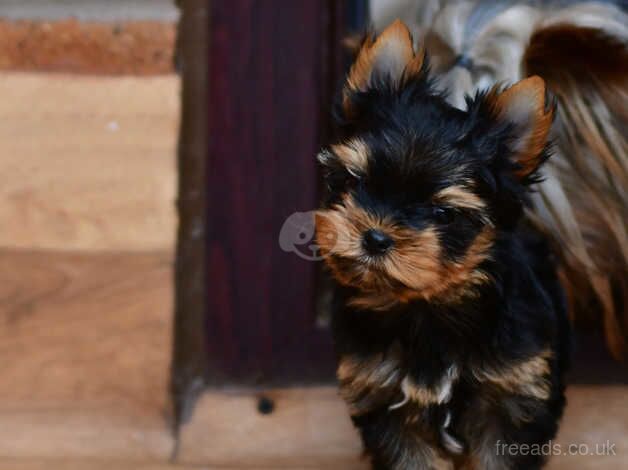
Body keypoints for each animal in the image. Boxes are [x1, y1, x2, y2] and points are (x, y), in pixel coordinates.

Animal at [316, 20, 572, 468]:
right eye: (352, 181)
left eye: (444, 214)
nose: (375, 237)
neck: (427, 305)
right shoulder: (382, 395)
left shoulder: (512, 396)